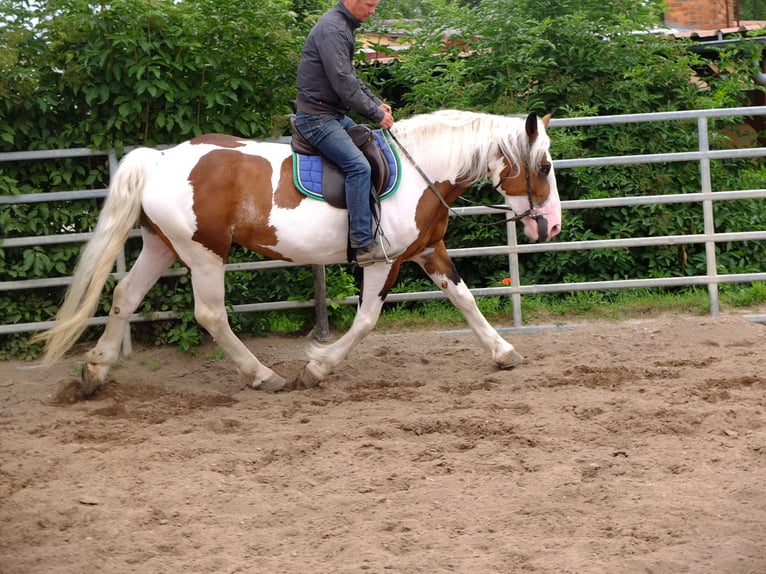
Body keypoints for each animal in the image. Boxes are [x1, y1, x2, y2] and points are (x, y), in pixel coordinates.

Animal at [34, 109, 564, 396]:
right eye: (544, 165)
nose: (553, 225)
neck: (421, 170)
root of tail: (163, 159)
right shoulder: (384, 260)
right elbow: (366, 320)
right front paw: (317, 367)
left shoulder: (428, 249)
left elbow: (465, 299)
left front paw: (503, 351)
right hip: (204, 253)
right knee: (210, 314)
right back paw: (262, 375)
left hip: (163, 246)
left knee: (124, 296)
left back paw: (95, 371)